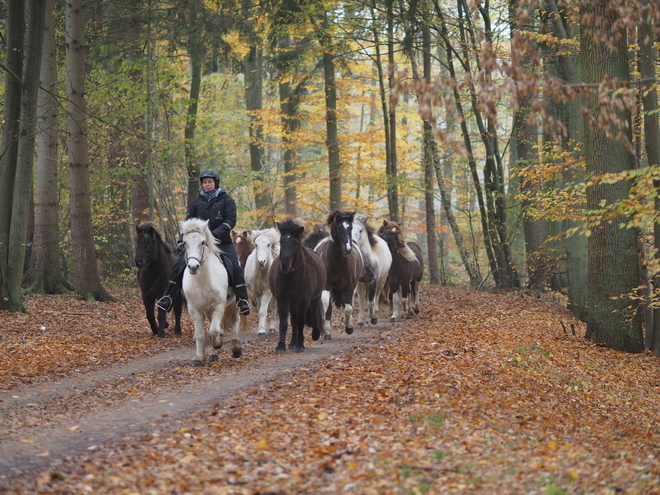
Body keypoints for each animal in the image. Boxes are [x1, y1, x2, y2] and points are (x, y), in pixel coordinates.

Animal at [180, 219, 242, 366]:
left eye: (203, 242)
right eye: (185, 243)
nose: (193, 267)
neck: (202, 280)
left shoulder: (219, 306)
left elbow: (214, 330)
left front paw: (217, 344)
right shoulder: (195, 309)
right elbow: (201, 334)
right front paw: (198, 357)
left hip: (234, 304)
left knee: (234, 321)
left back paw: (236, 349)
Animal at [268, 219, 328, 354]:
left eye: (295, 243)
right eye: (281, 241)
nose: (284, 265)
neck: (292, 277)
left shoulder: (304, 300)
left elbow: (300, 321)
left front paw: (300, 345)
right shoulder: (282, 299)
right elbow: (284, 323)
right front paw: (281, 346)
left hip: (315, 298)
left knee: (313, 314)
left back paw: (314, 334)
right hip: (292, 302)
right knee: (293, 320)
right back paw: (292, 343)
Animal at [314, 211, 364, 340]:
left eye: (350, 227)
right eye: (339, 228)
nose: (348, 249)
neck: (337, 261)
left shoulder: (349, 286)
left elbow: (348, 308)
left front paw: (349, 327)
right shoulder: (327, 286)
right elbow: (326, 304)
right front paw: (327, 331)